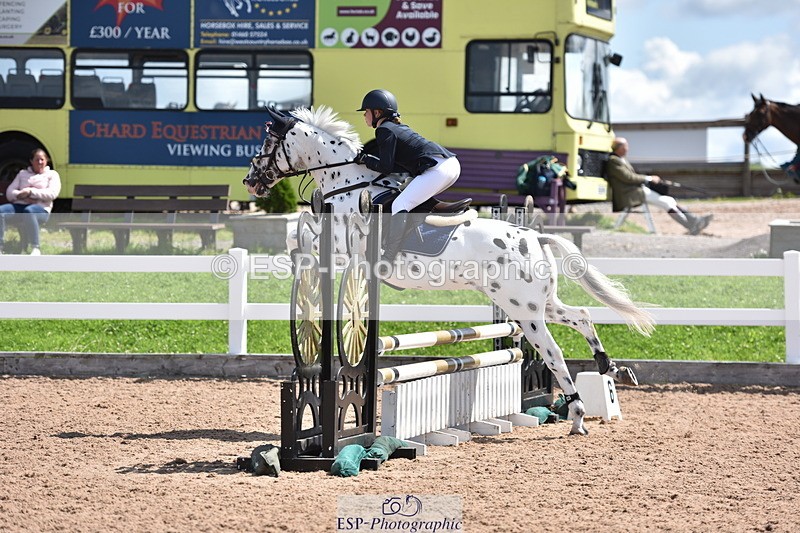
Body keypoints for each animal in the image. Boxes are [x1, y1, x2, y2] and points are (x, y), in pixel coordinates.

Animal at [244, 105, 655, 436]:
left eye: (267, 142)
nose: (250, 181)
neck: (348, 182)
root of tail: (535, 236)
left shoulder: (346, 251)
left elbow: (305, 243)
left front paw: (296, 264)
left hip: (524, 311)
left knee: (552, 352)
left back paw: (577, 413)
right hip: (539, 304)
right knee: (581, 315)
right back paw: (607, 367)